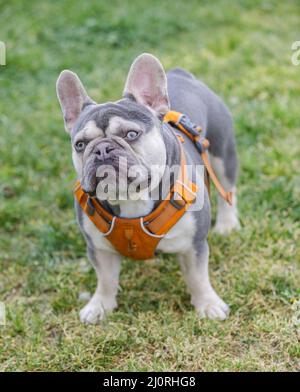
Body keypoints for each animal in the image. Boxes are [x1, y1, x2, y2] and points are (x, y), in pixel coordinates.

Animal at [55, 53, 239, 324]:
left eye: (131, 134)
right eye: (80, 144)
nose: (102, 149)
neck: (132, 198)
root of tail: (182, 74)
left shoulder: (194, 244)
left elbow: (198, 277)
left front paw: (208, 304)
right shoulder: (99, 248)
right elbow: (105, 279)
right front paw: (100, 305)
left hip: (221, 154)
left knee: (227, 190)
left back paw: (227, 225)